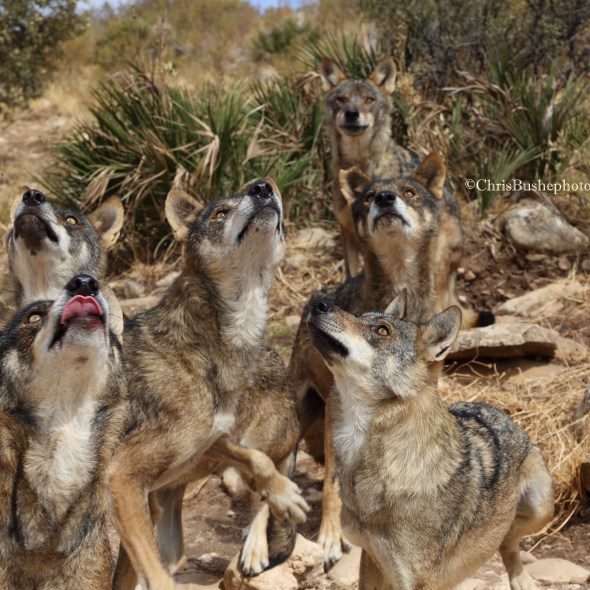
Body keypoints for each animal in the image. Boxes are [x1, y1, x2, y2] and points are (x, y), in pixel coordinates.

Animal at [109, 180, 309, 590]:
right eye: (220, 213)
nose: (263, 186)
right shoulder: (122, 477)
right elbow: (155, 576)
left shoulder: (210, 439)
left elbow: (260, 462)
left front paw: (285, 495)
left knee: (257, 493)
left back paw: (255, 547)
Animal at [307, 294, 554, 590]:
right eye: (359, 315)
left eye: (382, 330)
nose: (318, 302)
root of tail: (496, 410)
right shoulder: (371, 557)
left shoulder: (417, 578)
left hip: (541, 505)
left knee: (508, 539)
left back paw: (521, 580)